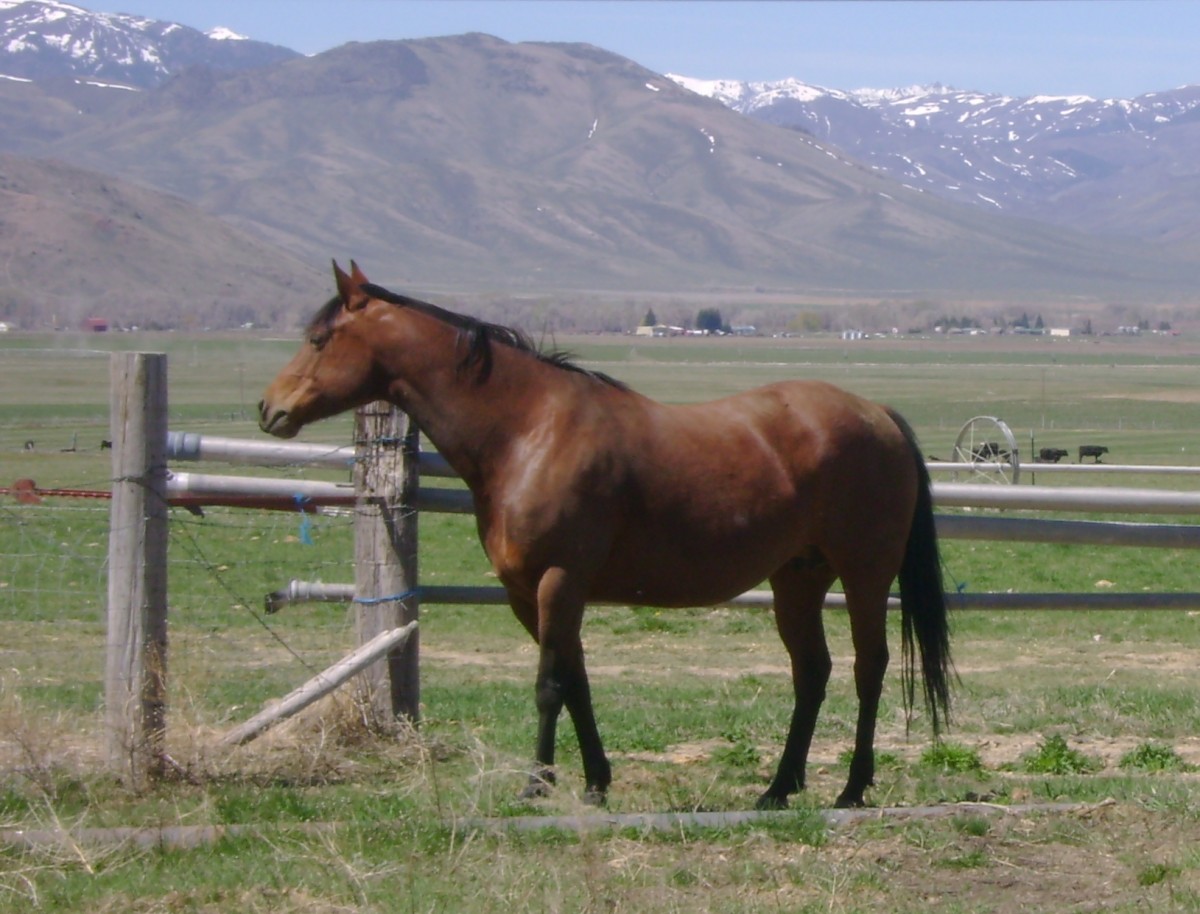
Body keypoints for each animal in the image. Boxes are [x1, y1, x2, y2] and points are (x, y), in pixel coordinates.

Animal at [258, 260, 950, 806]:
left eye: (317, 338)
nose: (270, 409)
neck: (528, 430)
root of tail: (877, 415)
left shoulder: (559, 580)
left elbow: (549, 686)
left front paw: (536, 783)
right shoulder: (529, 593)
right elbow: (576, 682)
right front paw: (595, 780)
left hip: (864, 575)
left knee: (868, 667)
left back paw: (852, 787)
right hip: (797, 580)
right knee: (812, 672)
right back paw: (779, 788)